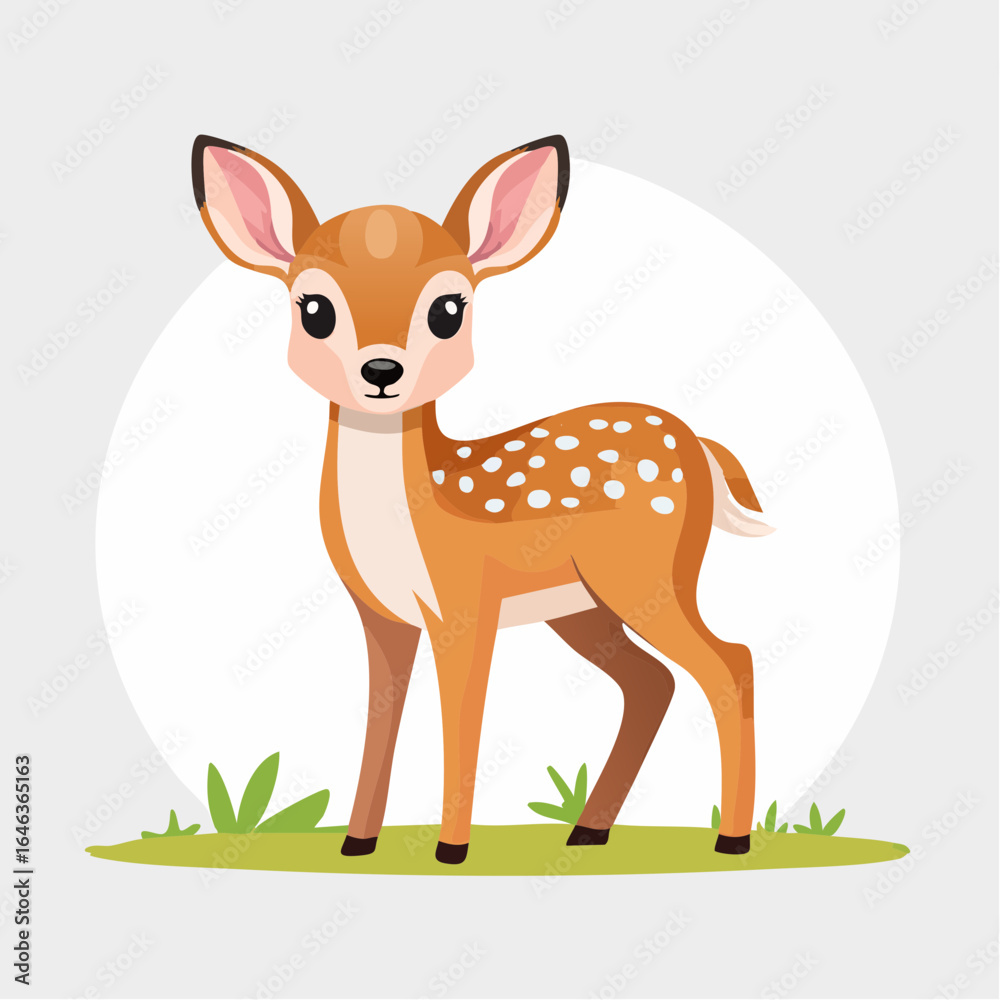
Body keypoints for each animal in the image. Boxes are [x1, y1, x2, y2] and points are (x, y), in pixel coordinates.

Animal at [191, 133, 774, 865]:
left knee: (730, 662)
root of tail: (697, 444)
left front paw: (451, 850)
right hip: (585, 606)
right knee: (653, 682)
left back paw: (731, 839)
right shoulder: (379, 615)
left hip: (646, 574)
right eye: (313, 308)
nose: (381, 371)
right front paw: (358, 842)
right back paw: (589, 830)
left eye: (449, 309)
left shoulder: (465, 603)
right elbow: (381, 716)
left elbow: (463, 716)